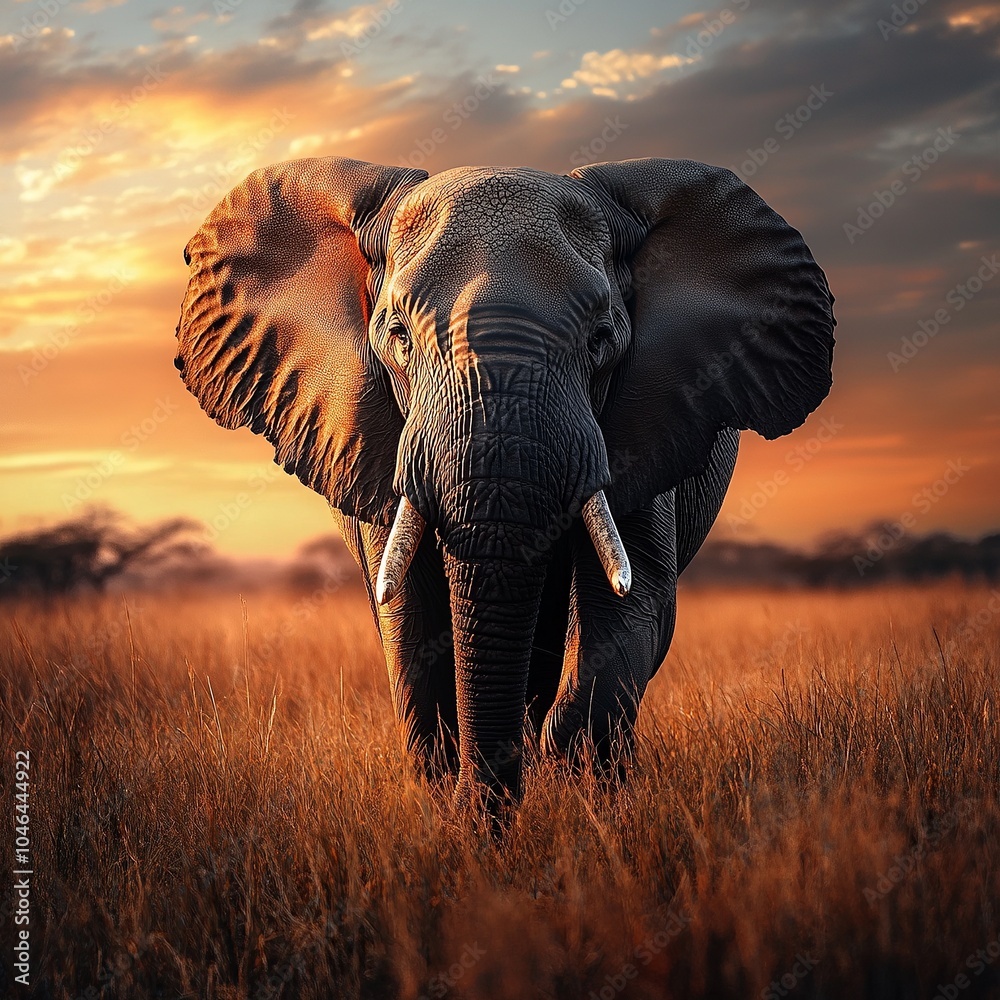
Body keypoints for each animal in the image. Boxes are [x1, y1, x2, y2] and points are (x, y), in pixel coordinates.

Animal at [174, 155, 835, 811]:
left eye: (601, 339)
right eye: (398, 335)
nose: (487, 812)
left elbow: (632, 607)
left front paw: (566, 779)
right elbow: (411, 628)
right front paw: (459, 804)